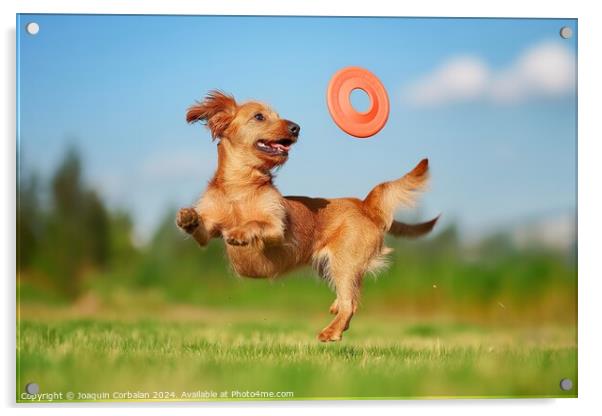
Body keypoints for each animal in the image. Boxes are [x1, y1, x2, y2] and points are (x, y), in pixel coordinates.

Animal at [175, 91, 436, 342]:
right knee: (351, 297)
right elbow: (202, 227)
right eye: (259, 116)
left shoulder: (277, 229)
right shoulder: (208, 232)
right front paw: (188, 216)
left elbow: (256, 222)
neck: (240, 187)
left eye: (278, 115)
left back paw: (331, 331)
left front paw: (240, 231)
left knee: (350, 303)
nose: (296, 128)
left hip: (344, 262)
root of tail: (363, 205)